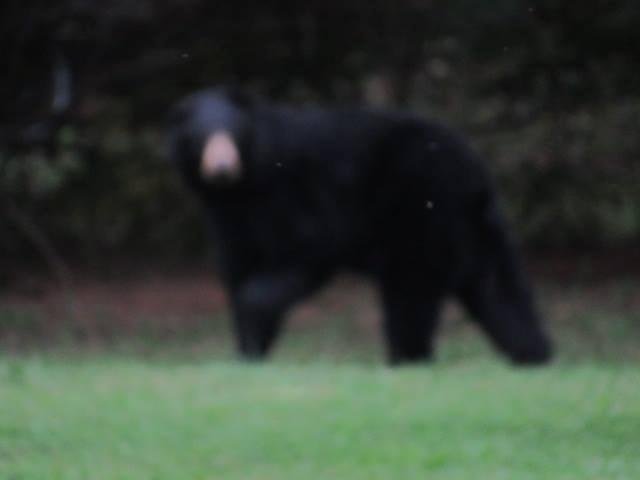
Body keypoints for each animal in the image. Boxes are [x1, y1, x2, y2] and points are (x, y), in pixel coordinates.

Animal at [166, 88, 553, 365]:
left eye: (232, 134)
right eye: (201, 137)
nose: (221, 167)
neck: (244, 187)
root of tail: (475, 167)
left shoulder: (294, 194)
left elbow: (302, 250)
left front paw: (253, 322)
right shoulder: (231, 220)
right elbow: (238, 269)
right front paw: (247, 352)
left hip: (421, 210)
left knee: (411, 289)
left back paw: (408, 358)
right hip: (470, 225)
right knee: (498, 286)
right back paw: (534, 354)